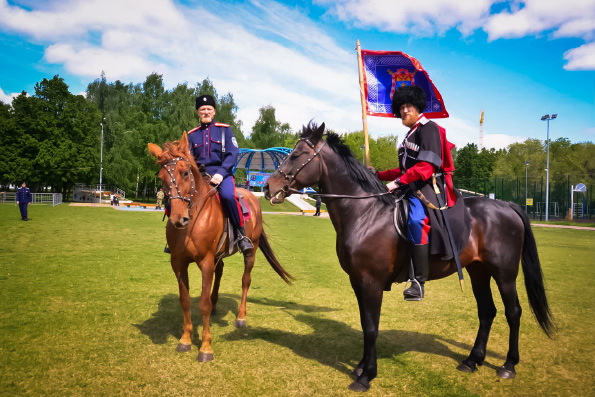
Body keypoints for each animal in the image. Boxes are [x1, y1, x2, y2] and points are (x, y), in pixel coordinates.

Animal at [149, 131, 294, 360]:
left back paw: (241, 317)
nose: (178, 219)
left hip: (250, 251)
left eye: (185, 173)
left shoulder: (206, 261)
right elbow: (185, 300)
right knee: (220, 273)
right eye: (161, 177)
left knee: (245, 281)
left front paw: (205, 347)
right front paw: (185, 339)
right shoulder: (178, 263)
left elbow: (203, 304)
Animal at [264, 123, 556, 390]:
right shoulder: (357, 281)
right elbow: (365, 323)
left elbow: (371, 327)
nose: (268, 187)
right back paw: (472, 360)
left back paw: (508, 365)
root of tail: (507, 205)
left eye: (297, 155)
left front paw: (367, 375)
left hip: (504, 273)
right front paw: (360, 367)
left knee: (513, 312)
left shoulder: (371, 282)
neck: (365, 214)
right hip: (478, 272)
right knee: (487, 312)